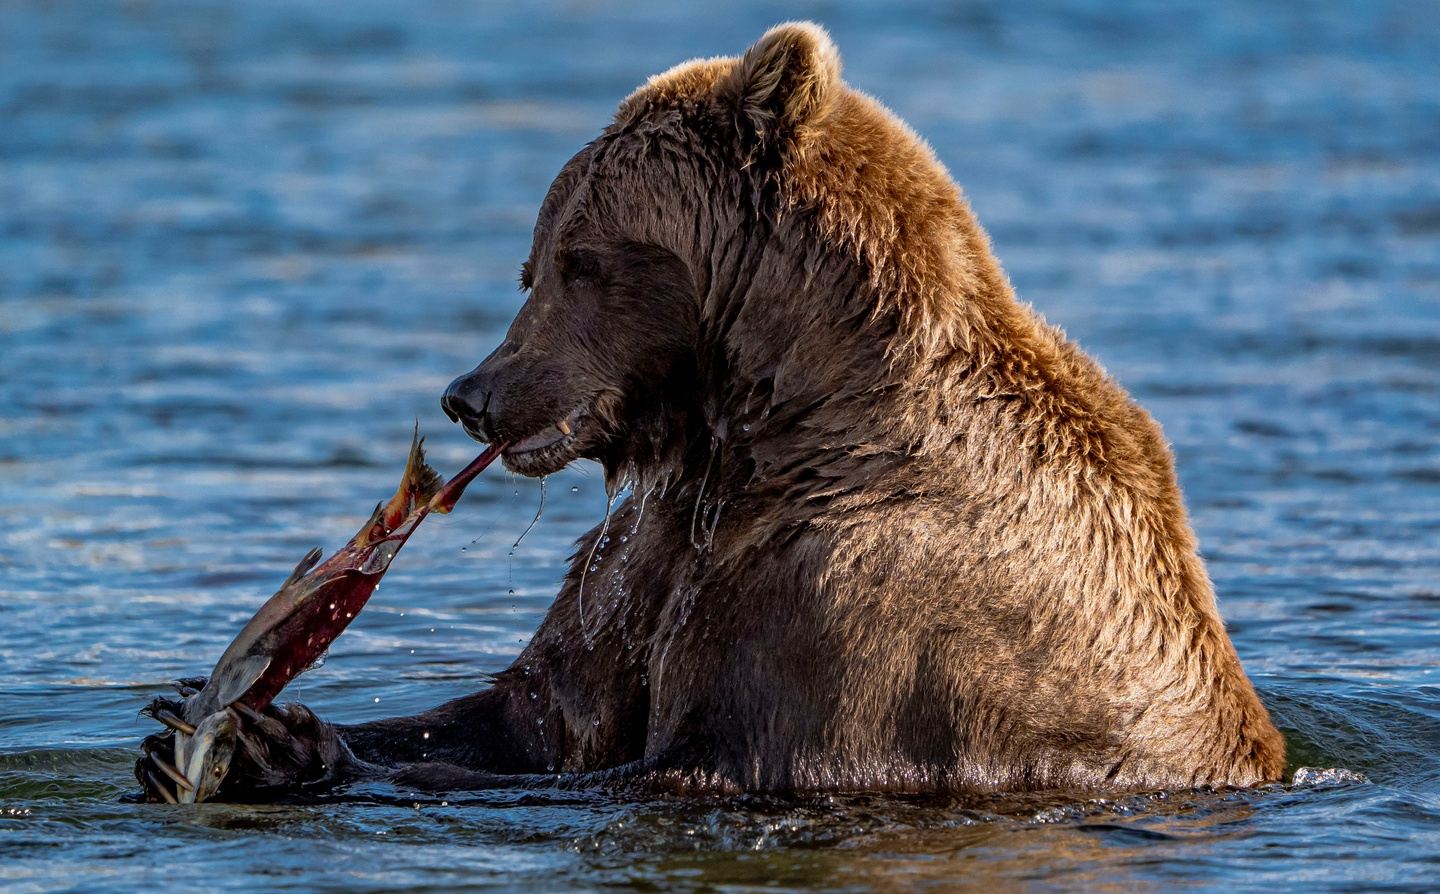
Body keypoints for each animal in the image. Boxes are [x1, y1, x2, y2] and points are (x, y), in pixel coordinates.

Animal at [140, 22, 1285, 802]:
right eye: (532, 261)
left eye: (580, 260)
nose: (471, 396)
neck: (767, 429)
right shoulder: (649, 556)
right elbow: (533, 712)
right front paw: (228, 728)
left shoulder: (860, 598)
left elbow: (702, 755)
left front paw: (272, 743)